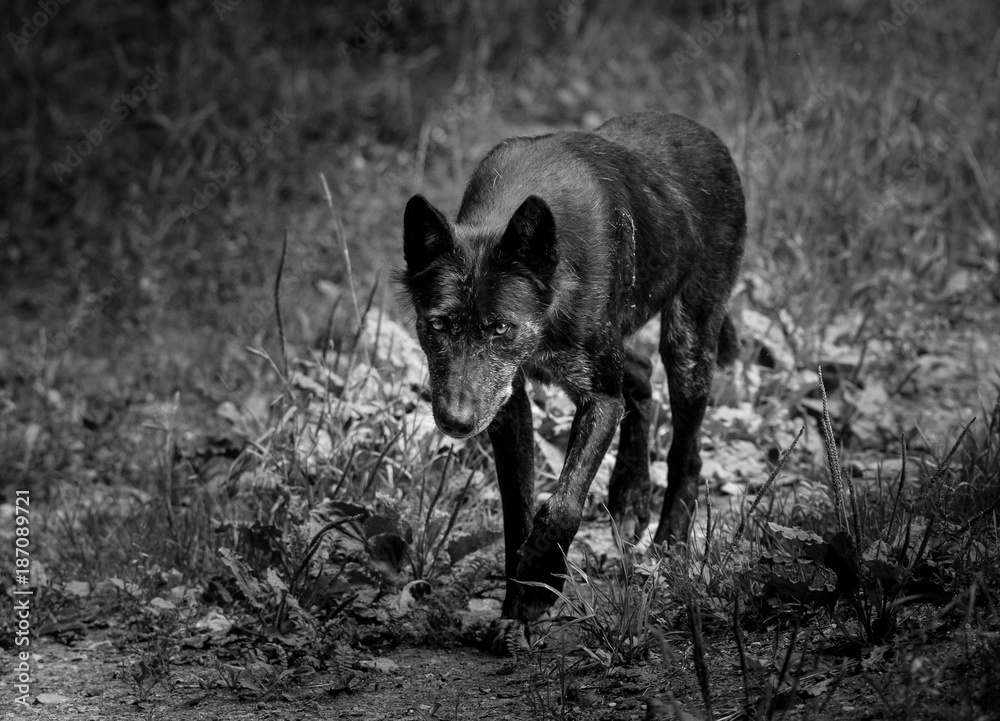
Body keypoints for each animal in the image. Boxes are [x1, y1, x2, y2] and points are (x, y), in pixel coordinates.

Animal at [398, 112, 746, 631]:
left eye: (500, 327)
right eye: (437, 325)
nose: (455, 423)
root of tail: (707, 135)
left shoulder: (597, 398)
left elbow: (563, 502)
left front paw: (541, 579)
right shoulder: (508, 408)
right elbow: (518, 514)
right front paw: (517, 609)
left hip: (688, 345)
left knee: (687, 451)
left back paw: (668, 548)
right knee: (639, 375)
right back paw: (629, 497)